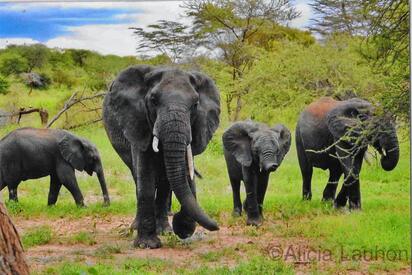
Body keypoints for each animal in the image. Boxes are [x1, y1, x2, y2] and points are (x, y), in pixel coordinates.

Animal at [103, 65, 220, 250]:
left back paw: (165, 231)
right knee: (136, 177)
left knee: (164, 184)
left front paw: (176, 229)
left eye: (195, 104)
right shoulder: (139, 123)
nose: (217, 226)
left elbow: (173, 178)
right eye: (153, 100)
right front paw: (147, 245)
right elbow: (146, 179)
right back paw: (136, 227)